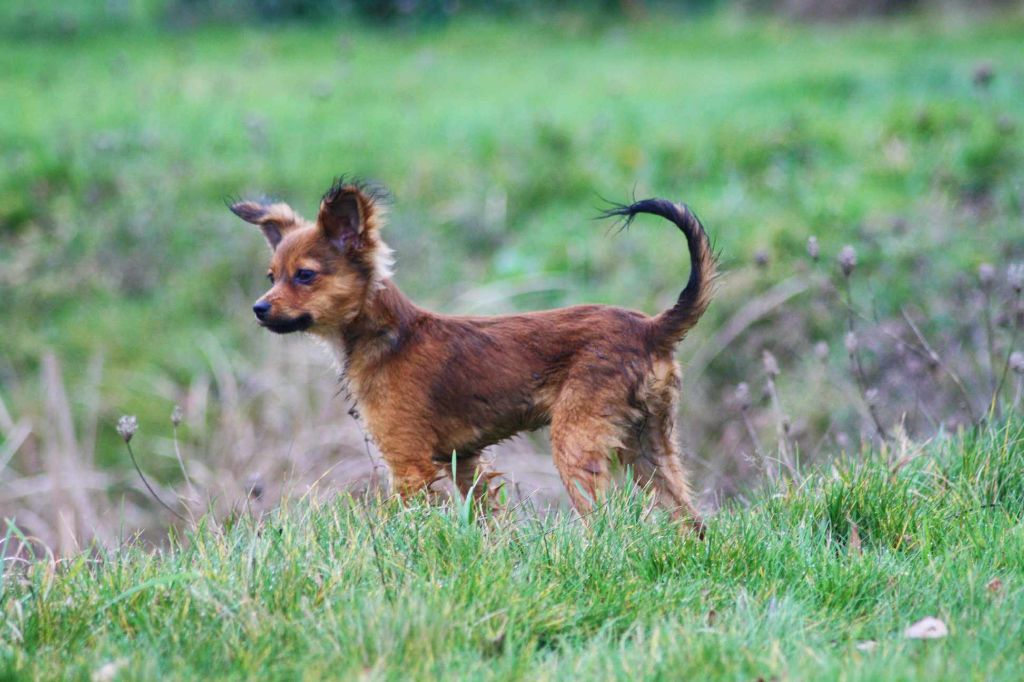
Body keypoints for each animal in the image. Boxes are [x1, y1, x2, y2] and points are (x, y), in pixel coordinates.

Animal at [230, 178, 712, 528]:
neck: (387, 336)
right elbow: (484, 516)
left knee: (608, 522)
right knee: (690, 519)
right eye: (271, 276)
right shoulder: (464, 460)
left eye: (304, 276)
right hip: (649, 446)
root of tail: (651, 328)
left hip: (577, 442)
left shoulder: (409, 465)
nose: (258, 308)